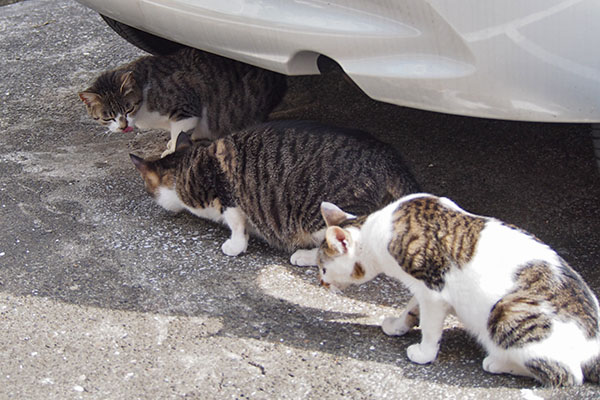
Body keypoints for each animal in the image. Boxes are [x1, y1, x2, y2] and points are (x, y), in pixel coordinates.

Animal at [79, 47, 286, 156]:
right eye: (107, 117)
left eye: (128, 108)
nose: (123, 126)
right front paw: (171, 144)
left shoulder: (186, 109)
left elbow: (179, 131)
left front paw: (172, 150)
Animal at [129, 121, 420, 266]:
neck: (184, 167)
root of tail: (388, 156)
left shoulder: (226, 191)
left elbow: (236, 222)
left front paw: (235, 245)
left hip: (320, 212)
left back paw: (306, 256)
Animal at [316, 195, 596, 388]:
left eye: (323, 269)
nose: (322, 284)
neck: (376, 231)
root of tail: (594, 346)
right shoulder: (423, 288)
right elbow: (411, 307)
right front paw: (398, 325)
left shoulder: (433, 292)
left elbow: (430, 328)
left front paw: (424, 353)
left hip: (505, 311)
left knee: (568, 375)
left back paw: (498, 362)